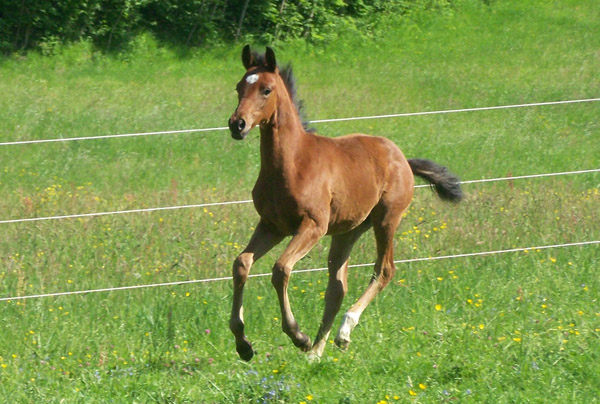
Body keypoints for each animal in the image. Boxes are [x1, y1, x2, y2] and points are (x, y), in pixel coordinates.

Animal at [227, 45, 462, 362]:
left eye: (266, 89)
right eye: (239, 87)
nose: (237, 124)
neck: (292, 162)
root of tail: (403, 158)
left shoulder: (312, 225)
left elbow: (281, 269)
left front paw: (297, 335)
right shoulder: (272, 225)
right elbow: (242, 263)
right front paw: (243, 343)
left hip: (386, 219)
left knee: (384, 270)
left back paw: (342, 333)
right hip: (347, 231)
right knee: (337, 286)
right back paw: (316, 352)